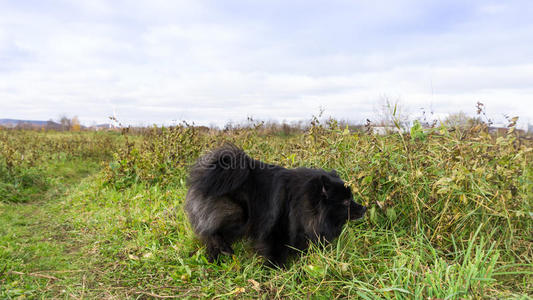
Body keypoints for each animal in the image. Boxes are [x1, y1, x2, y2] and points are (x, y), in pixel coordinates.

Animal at [184, 144, 366, 266]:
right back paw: (223, 249)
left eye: (351, 197)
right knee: (213, 233)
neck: (301, 203)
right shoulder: (276, 229)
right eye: (346, 202)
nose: (364, 208)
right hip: (237, 213)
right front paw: (276, 268)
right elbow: (274, 249)